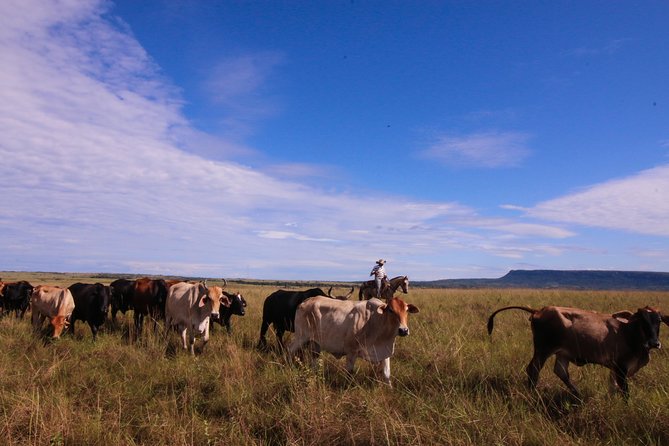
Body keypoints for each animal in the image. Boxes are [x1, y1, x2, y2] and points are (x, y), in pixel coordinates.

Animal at [288, 294, 418, 386]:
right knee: (289, 350)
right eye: (391, 310)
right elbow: (349, 373)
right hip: (300, 337)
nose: (403, 330)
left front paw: (390, 389)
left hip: (315, 343)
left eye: (406, 310)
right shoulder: (352, 351)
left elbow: (387, 374)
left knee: (314, 360)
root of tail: (305, 301)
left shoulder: (384, 352)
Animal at [486, 306, 668, 398]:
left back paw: (578, 394)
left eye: (658, 320)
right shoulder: (621, 367)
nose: (654, 343)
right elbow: (624, 392)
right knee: (533, 369)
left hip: (562, 353)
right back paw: (532, 393)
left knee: (561, 372)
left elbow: (613, 387)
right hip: (543, 350)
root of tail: (539, 310)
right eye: (641, 320)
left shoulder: (616, 369)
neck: (628, 332)